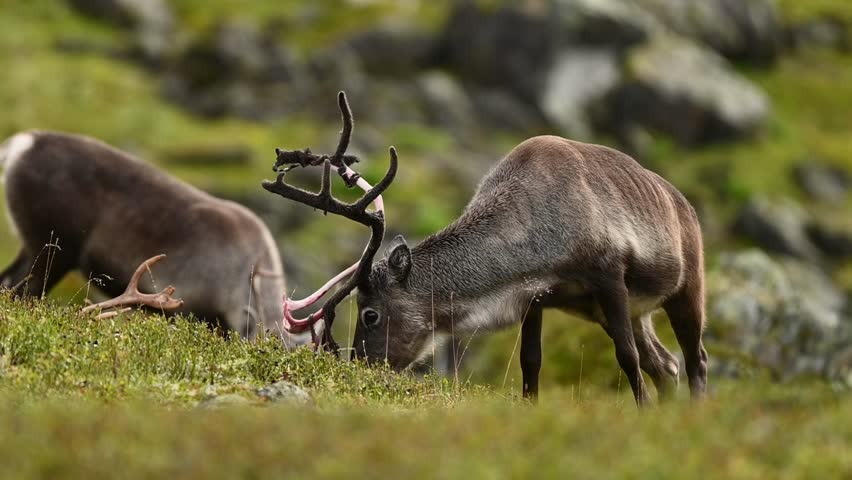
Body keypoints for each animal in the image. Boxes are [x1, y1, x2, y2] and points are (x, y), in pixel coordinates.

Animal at [265, 92, 707, 406]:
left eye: (370, 313)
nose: (360, 369)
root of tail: (685, 204)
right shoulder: (537, 296)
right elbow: (531, 365)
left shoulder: (608, 276)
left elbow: (625, 358)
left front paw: (643, 411)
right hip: (625, 311)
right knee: (666, 365)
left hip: (685, 286)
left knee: (694, 359)